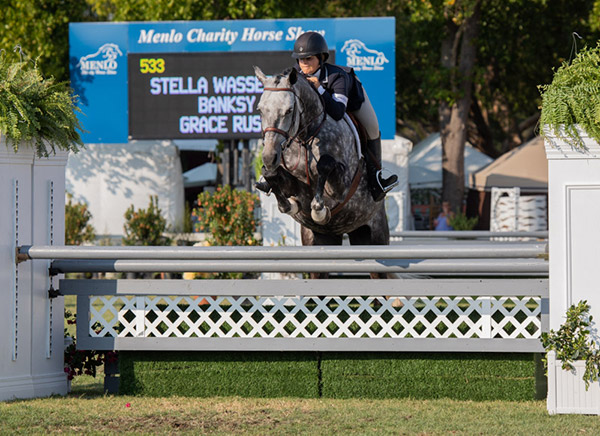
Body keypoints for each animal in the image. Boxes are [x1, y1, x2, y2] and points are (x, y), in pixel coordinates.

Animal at [253, 67, 390, 280]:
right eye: (260, 110)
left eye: (289, 110)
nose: (269, 157)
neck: (304, 138)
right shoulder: (294, 184)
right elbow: (274, 179)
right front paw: (287, 203)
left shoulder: (341, 188)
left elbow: (324, 165)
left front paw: (319, 210)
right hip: (322, 240)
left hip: (376, 236)